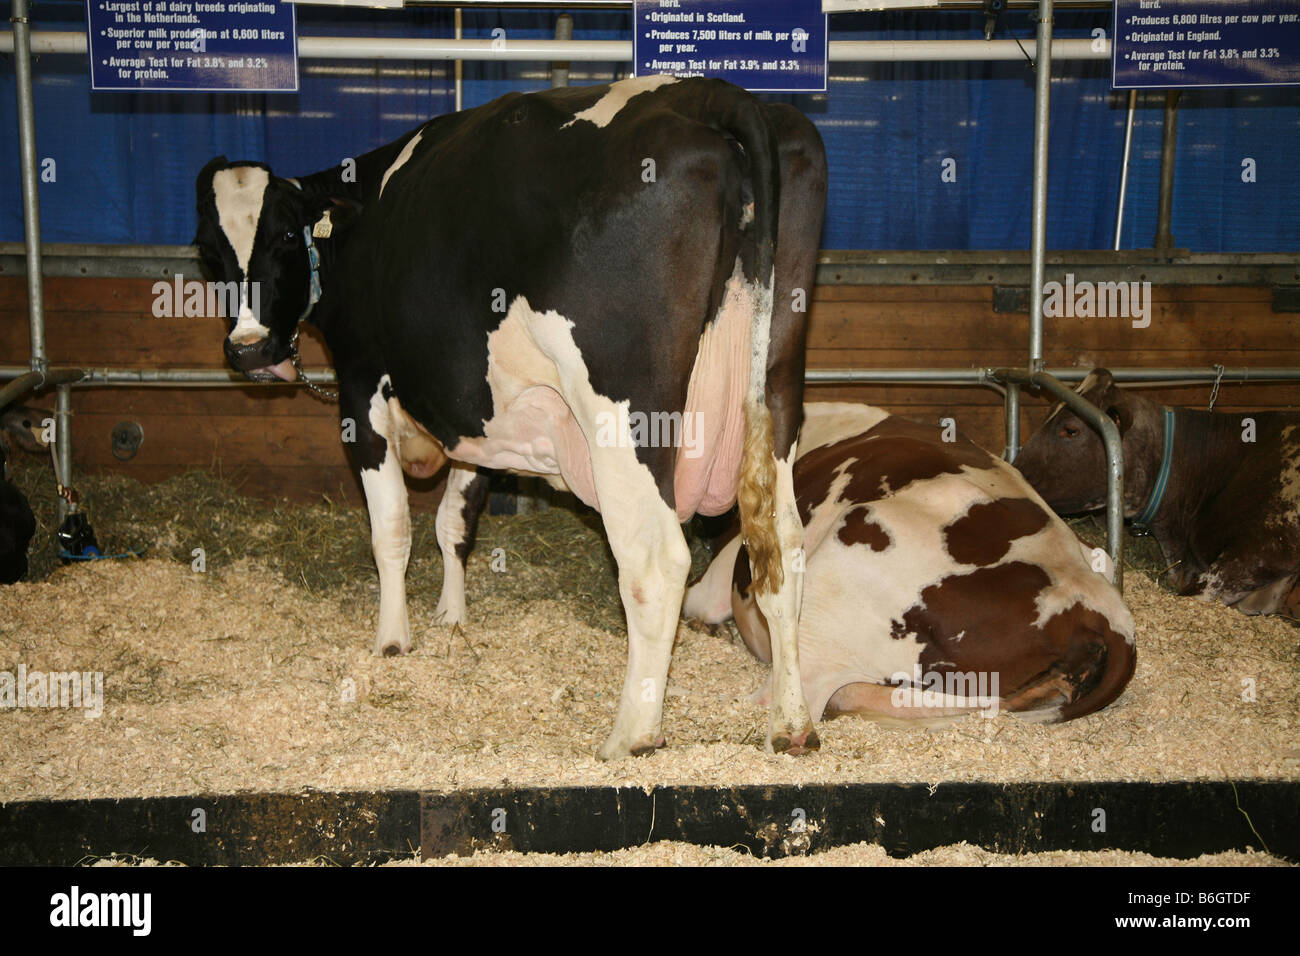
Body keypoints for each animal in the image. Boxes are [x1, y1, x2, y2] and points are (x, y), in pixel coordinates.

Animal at [194, 76, 828, 759]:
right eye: (208, 250)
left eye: (286, 236)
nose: (249, 350)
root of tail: (712, 92)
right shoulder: (473, 416)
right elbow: (454, 521)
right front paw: (451, 617)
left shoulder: (361, 388)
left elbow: (391, 528)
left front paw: (392, 640)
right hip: (776, 386)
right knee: (781, 545)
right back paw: (791, 723)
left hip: (621, 409)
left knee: (656, 560)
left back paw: (630, 737)